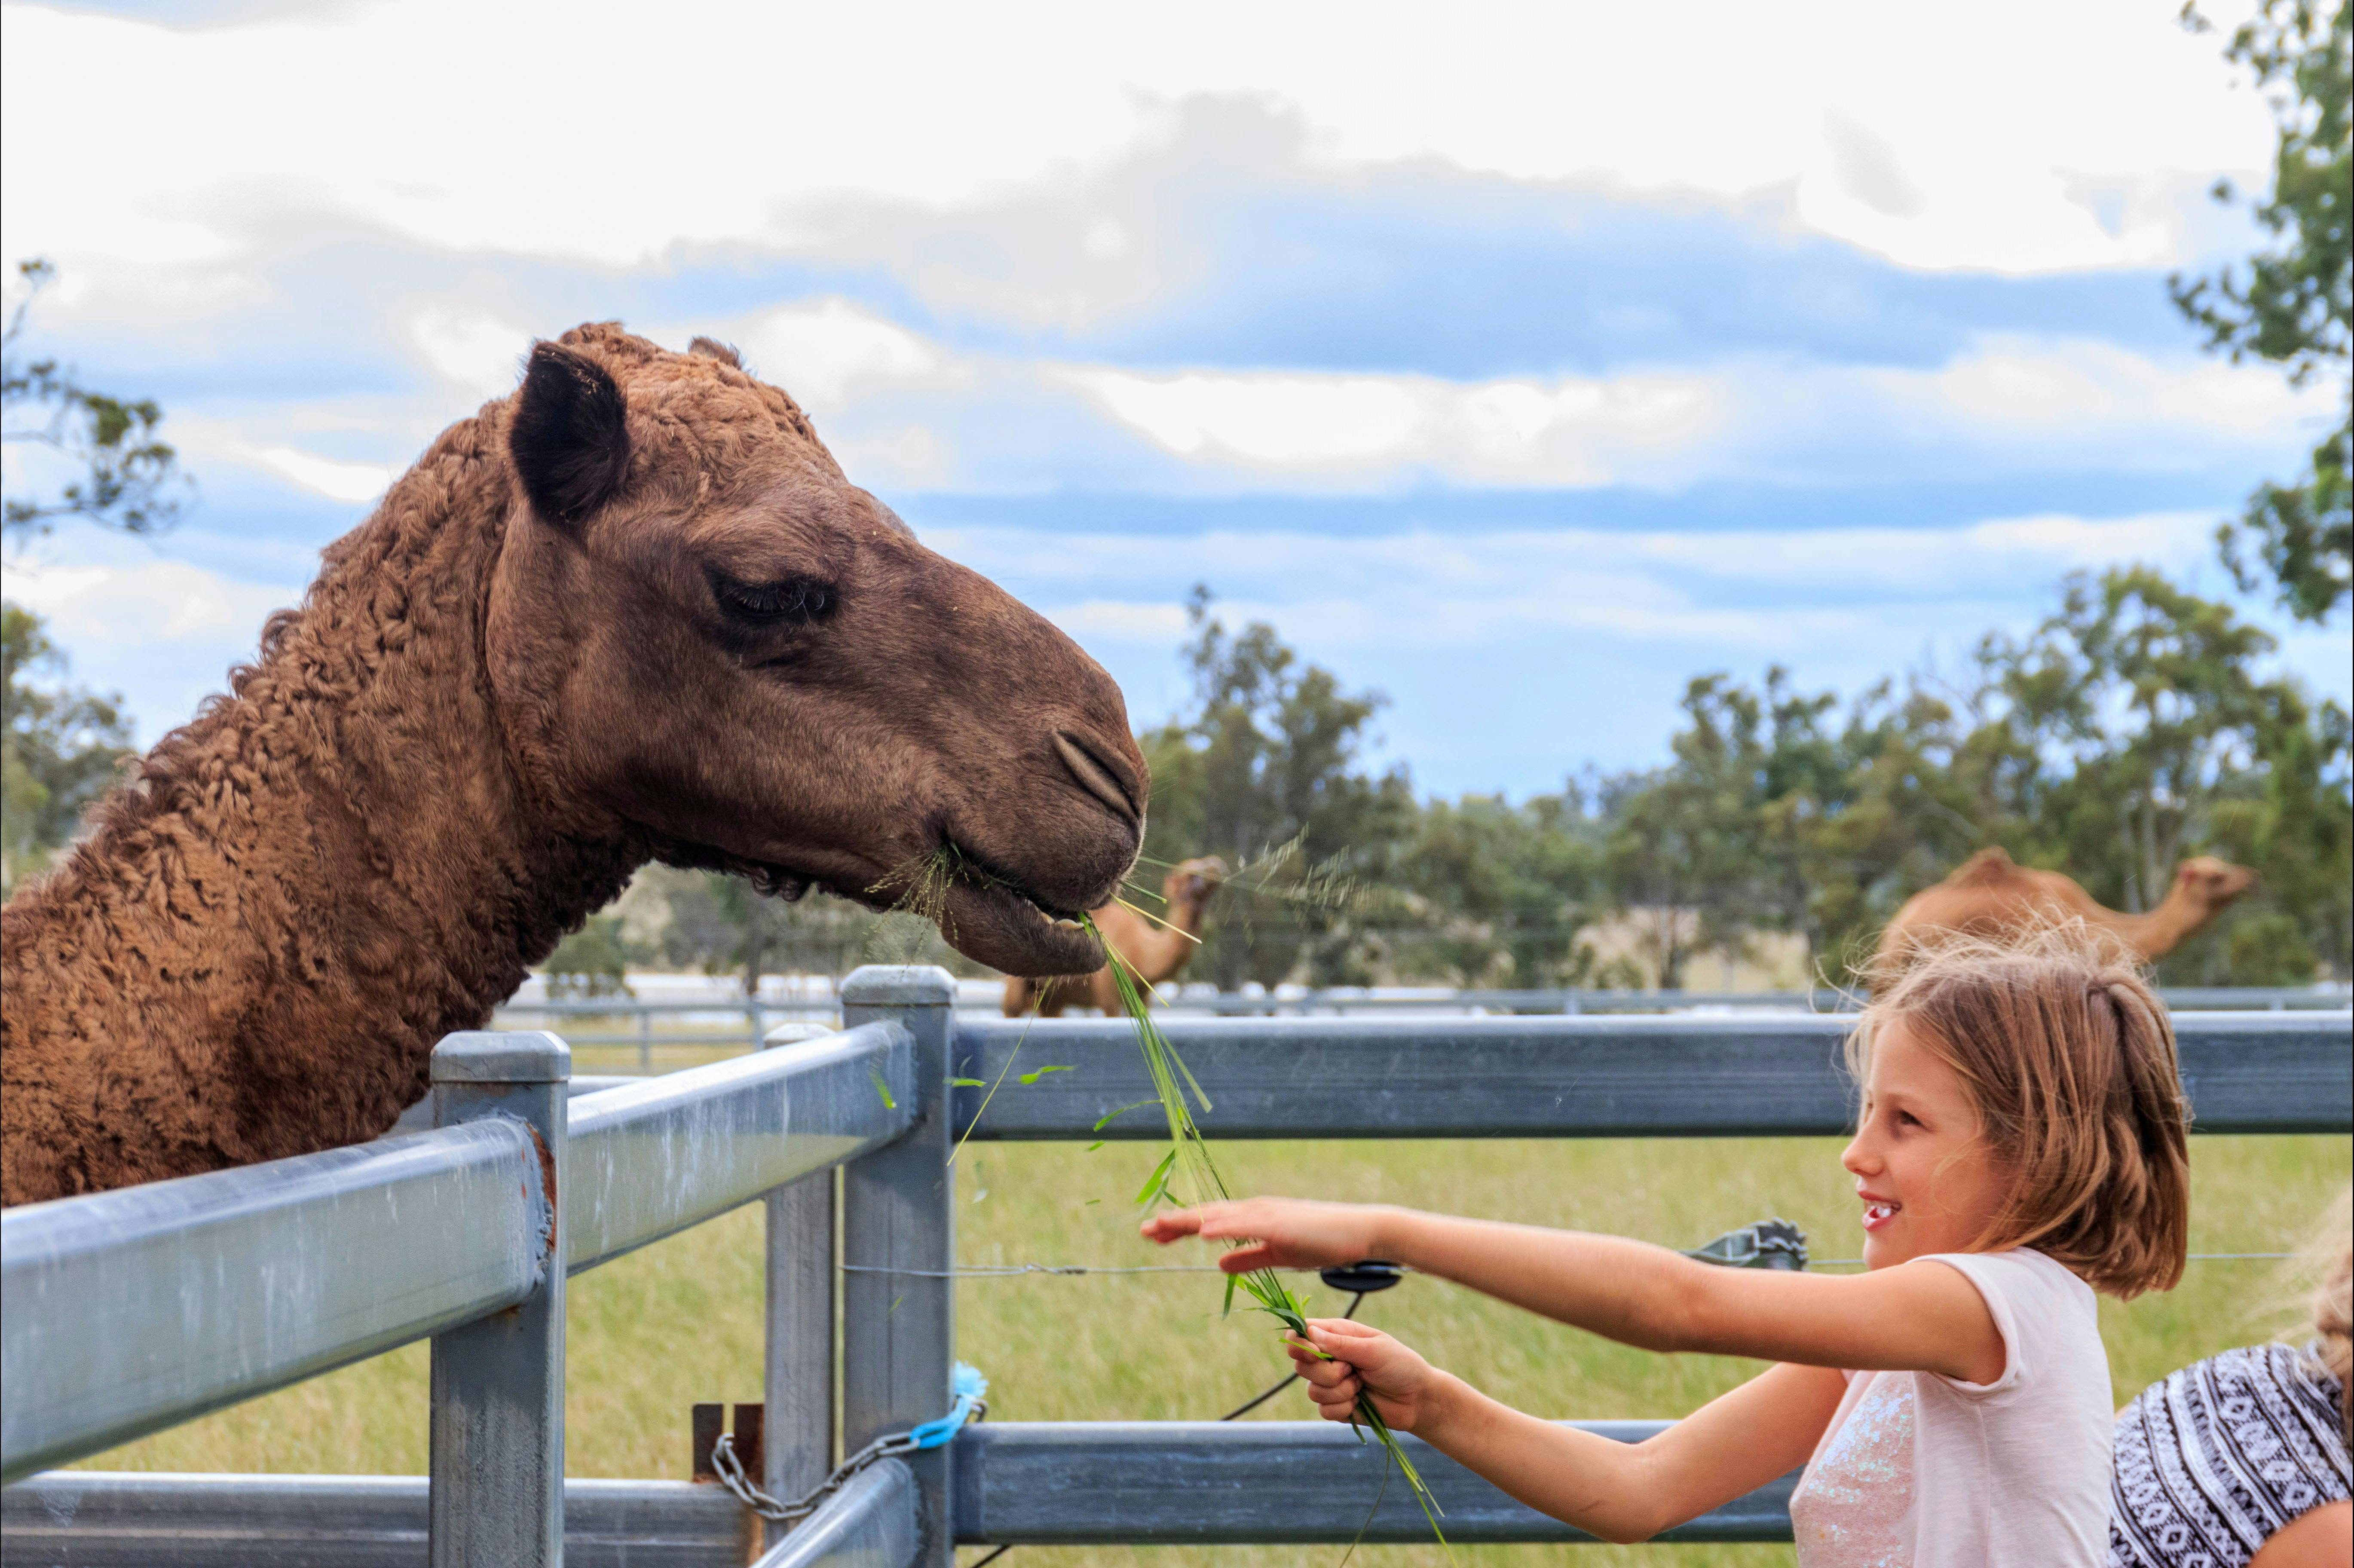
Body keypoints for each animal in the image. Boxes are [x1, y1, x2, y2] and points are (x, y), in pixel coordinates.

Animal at [1003, 856, 1226, 1016]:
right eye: (1189, 874)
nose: (1216, 864)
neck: (1140, 951)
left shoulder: (1143, 998)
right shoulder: (1108, 995)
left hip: (1053, 1000)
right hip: (1014, 993)